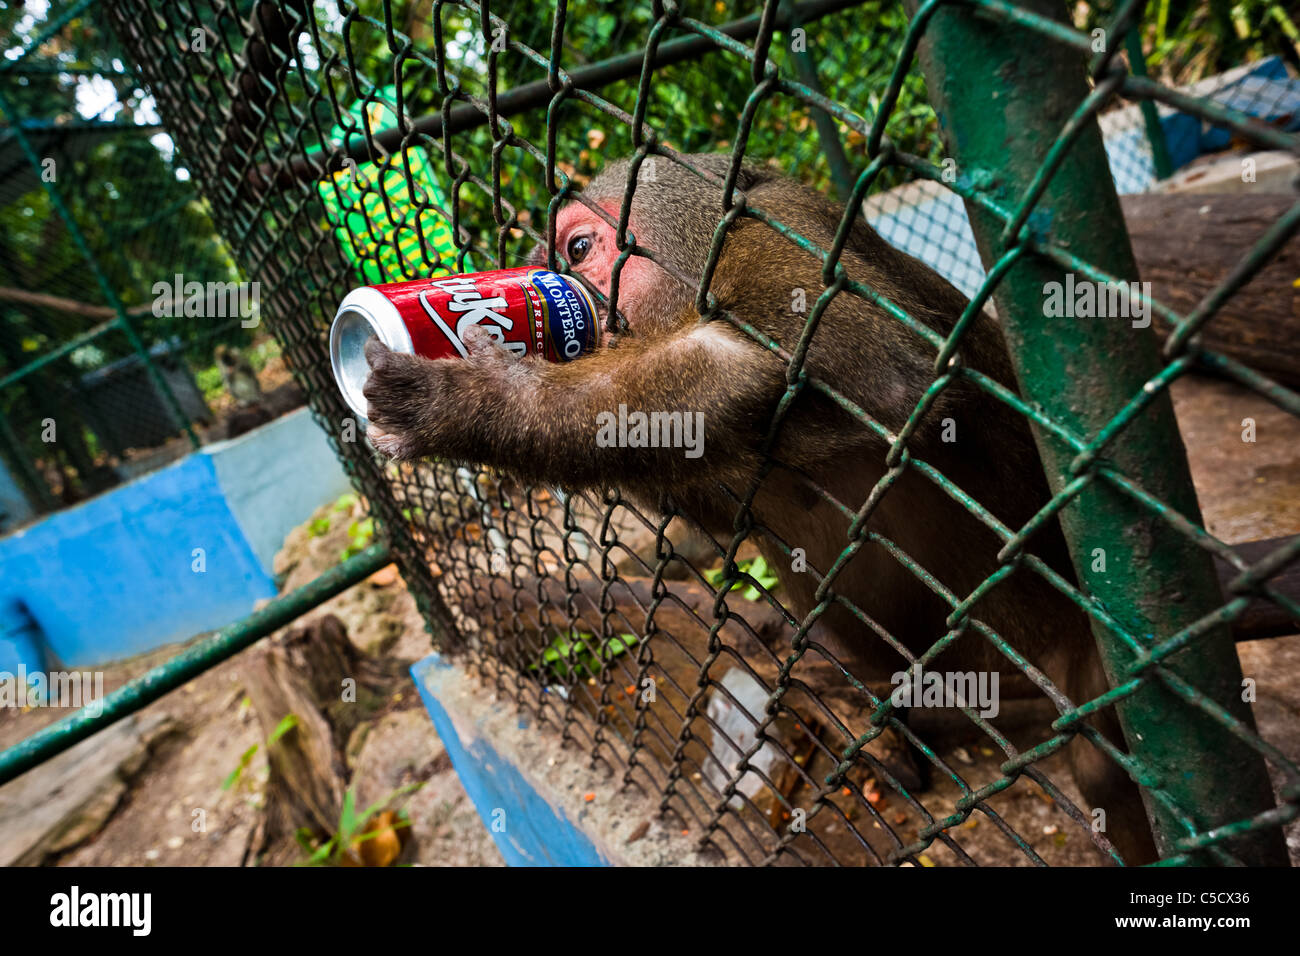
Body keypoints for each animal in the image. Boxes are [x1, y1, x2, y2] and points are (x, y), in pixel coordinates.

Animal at [364, 151, 1159, 868]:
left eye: (580, 250)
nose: (567, 303)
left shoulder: (772, 232)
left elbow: (871, 365)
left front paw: (477, 403)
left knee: (1101, 769)